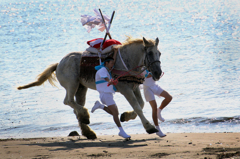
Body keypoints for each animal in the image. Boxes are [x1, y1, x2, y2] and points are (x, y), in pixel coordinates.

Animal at [17, 36, 162, 139]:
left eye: (159, 53)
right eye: (149, 53)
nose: (158, 73)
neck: (126, 61)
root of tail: (59, 63)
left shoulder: (134, 87)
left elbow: (141, 104)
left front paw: (125, 116)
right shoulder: (125, 89)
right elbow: (137, 107)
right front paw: (149, 127)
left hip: (81, 88)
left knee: (76, 106)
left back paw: (87, 130)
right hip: (72, 84)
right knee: (68, 101)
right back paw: (85, 116)